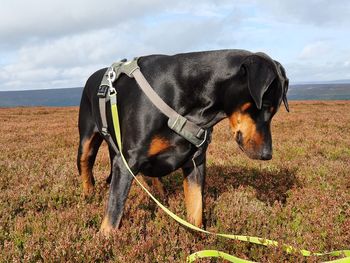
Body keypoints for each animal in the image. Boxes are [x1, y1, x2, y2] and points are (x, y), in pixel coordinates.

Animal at [77, 49, 290, 235]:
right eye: (265, 106)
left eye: (276, 109)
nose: (267, 154)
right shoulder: (127, 161)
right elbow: (114, 210)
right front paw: (106, 240)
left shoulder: (195, 162)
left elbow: (196, 208)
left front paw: (197, 240)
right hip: (87, 142)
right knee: (86, 168)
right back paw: (89, 197)